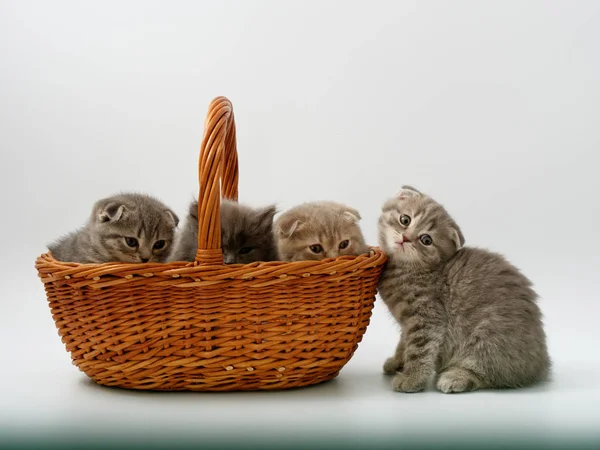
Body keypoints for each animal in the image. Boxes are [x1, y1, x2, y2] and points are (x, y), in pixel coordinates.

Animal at [378, 185, 552, 392]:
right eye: (405, 220)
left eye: (426, 240)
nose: (405, 238)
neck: (406, 268)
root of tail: (542, 366)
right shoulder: (407, 324)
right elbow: (404, 343)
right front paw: (397, 362)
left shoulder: (428, 316)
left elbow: (420, 348)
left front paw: (412, 379)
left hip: (488, 338)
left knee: (491, 374)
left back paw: (455, 377)